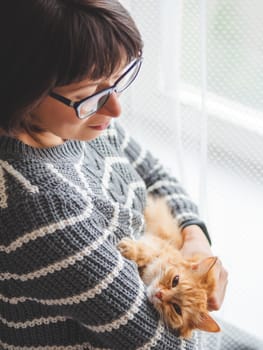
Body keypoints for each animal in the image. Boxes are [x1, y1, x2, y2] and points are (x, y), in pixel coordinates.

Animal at [118, 196, 222, 338]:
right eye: (175, 281)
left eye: (177, 309)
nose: (160, 294)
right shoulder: (159, 243)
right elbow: (147, 251)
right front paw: (130, 249)